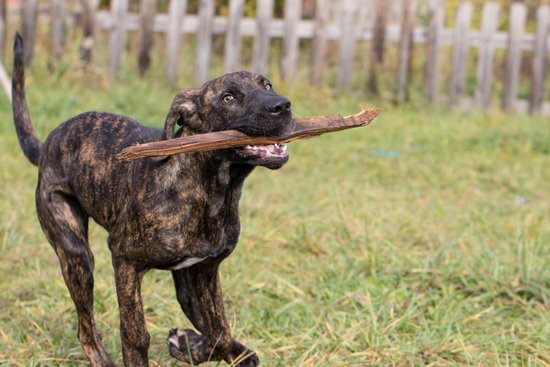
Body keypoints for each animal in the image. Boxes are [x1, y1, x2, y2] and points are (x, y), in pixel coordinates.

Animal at [10, 33, 294, 366]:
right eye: (228, 98)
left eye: (268, 85)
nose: (283, 105)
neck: (210, 190)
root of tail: (45, 146)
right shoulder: (124, 259)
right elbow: (136, 336)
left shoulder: (206, 269)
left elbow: (220, 331)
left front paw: (189, 346)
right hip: (75, 253)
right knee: (85, 326)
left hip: (183, 277)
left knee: (201, 316)